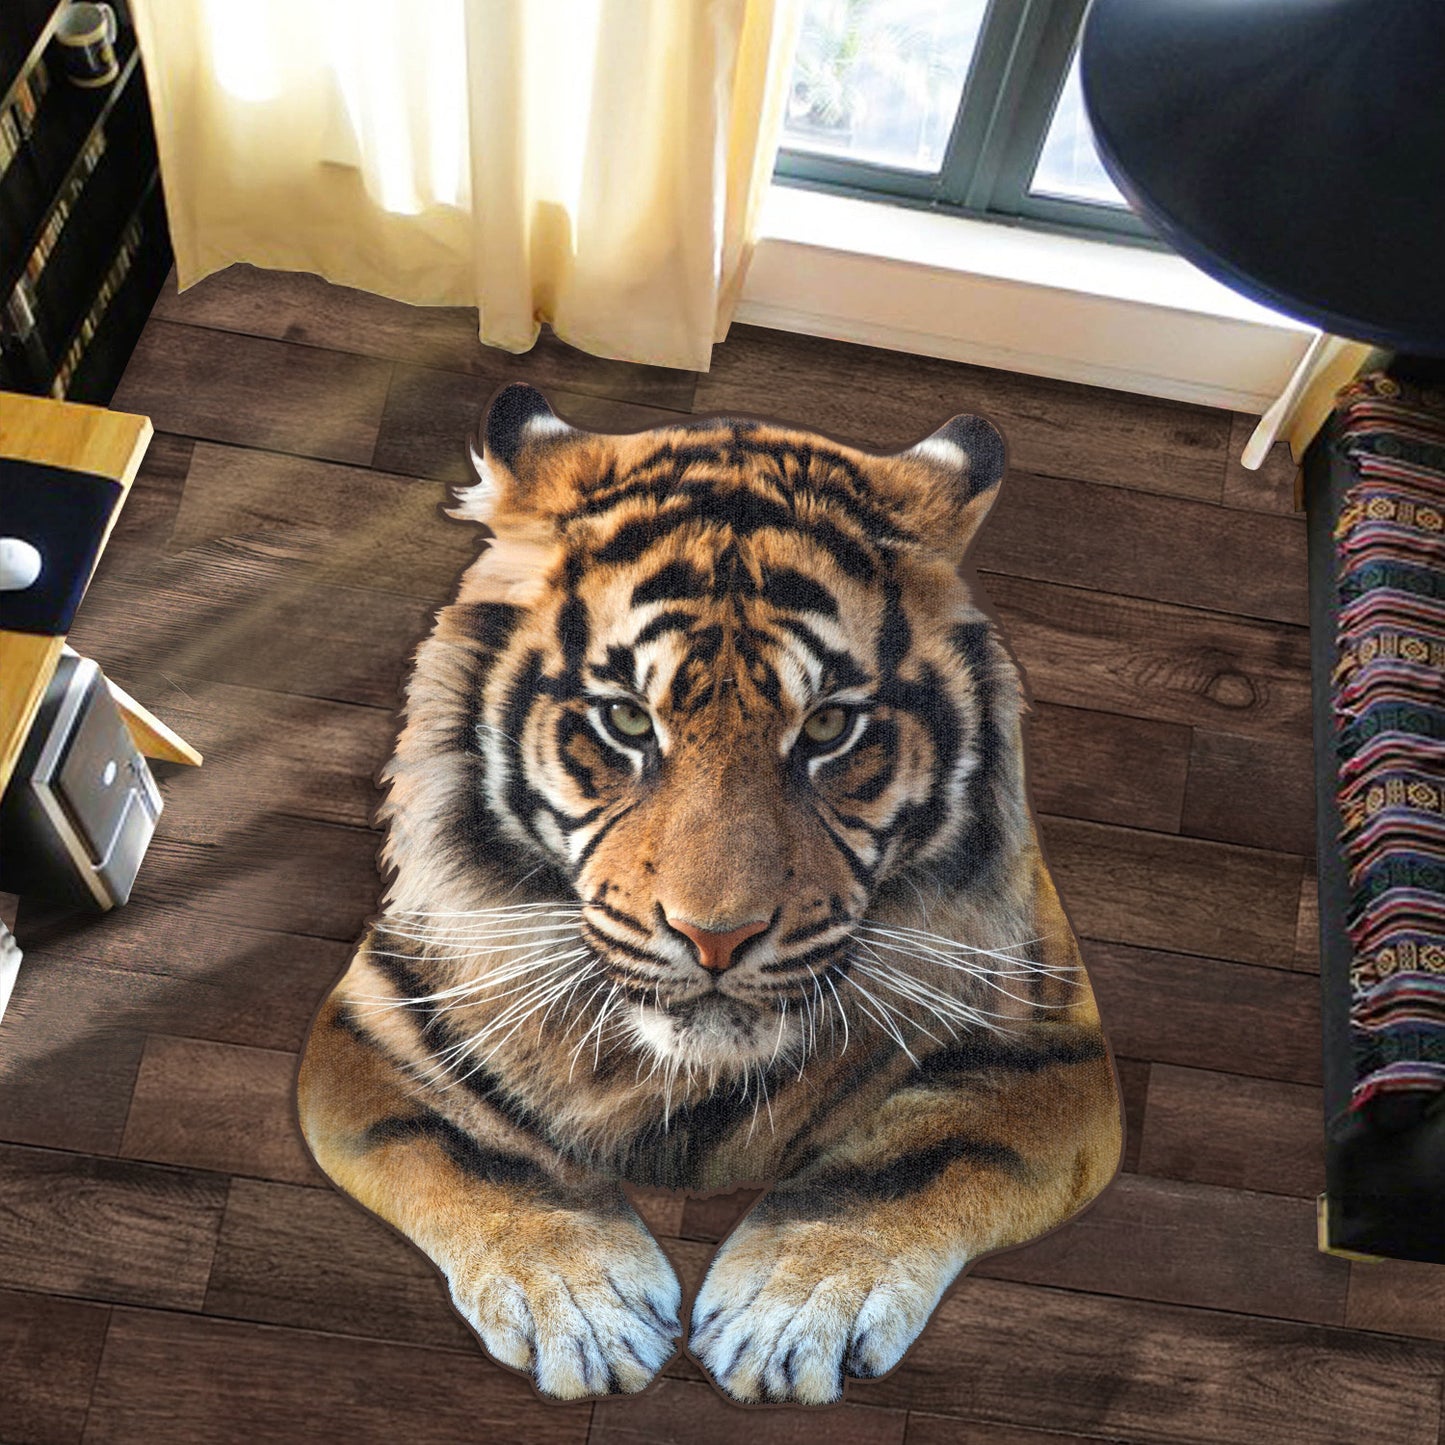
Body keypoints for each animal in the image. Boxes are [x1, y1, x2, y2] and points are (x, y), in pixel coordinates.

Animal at [296, 382, 1123, 1405]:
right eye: (624, 719)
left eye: (829, 728)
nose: (716, 938)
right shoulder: (372, 1017)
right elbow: (474, 1148)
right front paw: (587, 1313)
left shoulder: (1051, 1047)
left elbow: (916, 1155)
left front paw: (790, 1315)